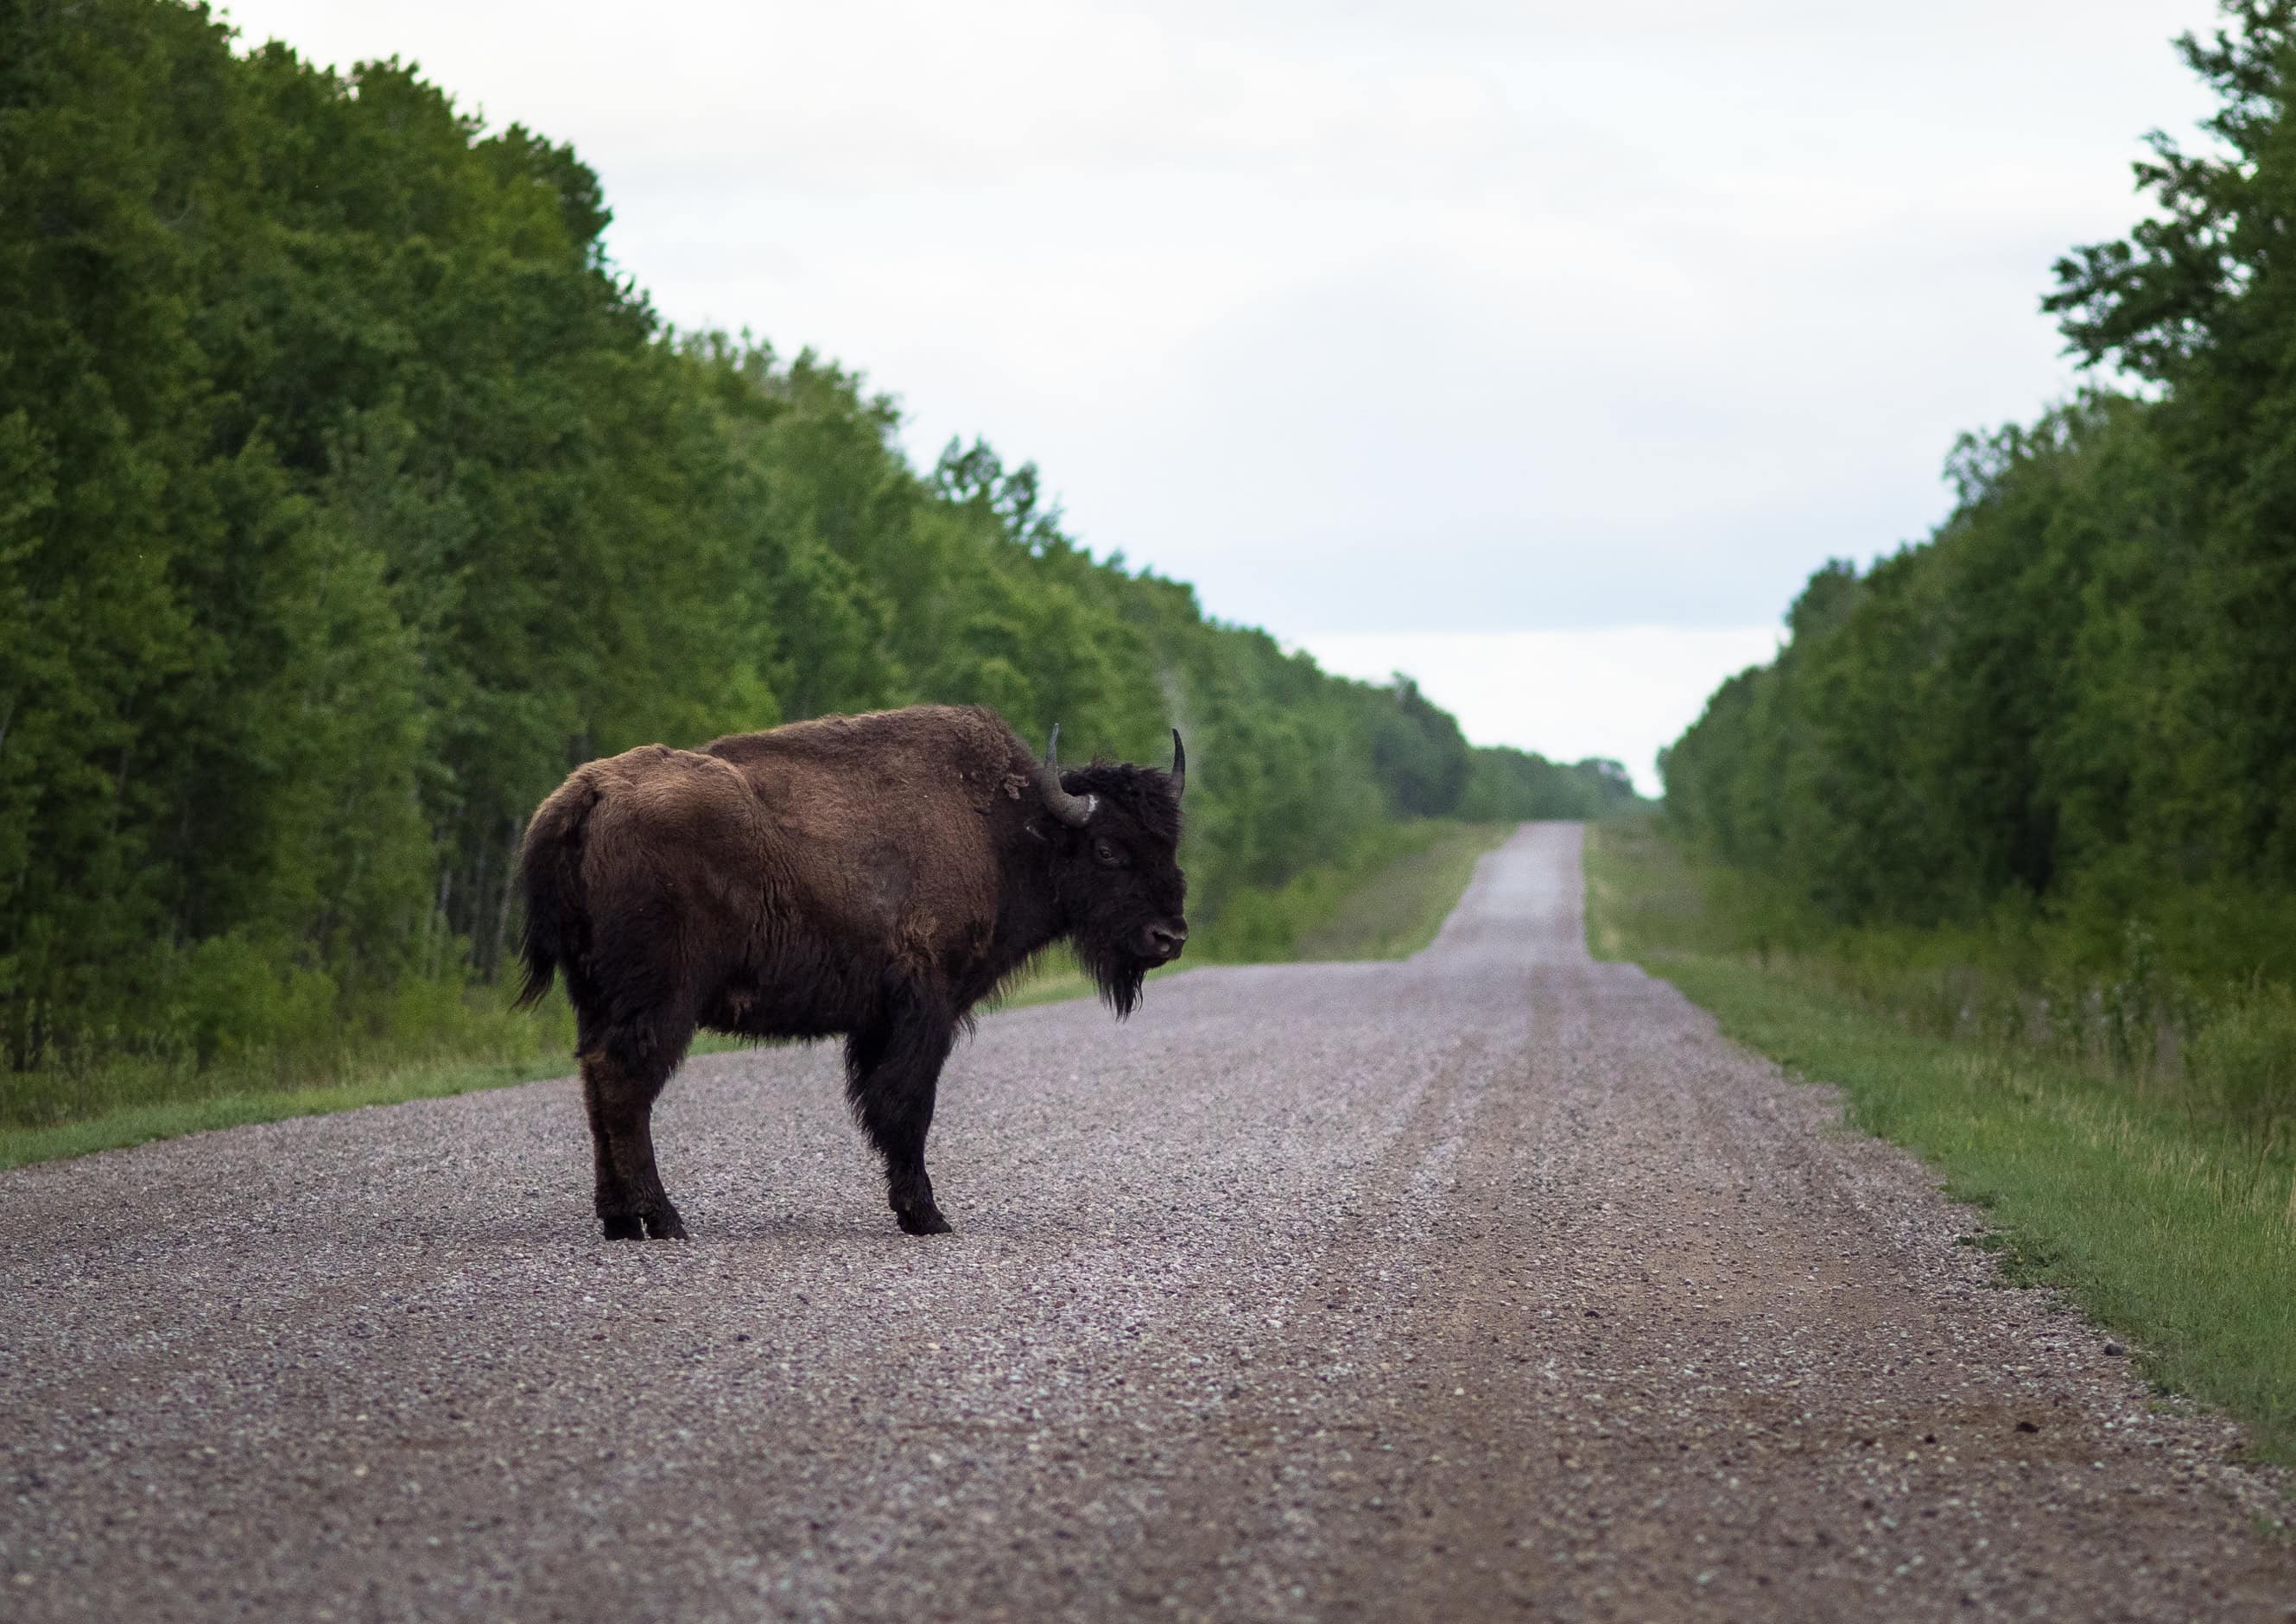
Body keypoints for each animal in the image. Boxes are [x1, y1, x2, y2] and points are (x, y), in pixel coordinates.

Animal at [514, 702, 1194, 1249]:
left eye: (1170, 845)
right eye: (1107, 848)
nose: (1170, 937)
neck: (1006, 834)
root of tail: (585, 794)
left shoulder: (877, 1022)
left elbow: (883, 1104)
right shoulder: (925, 1008)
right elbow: (907, 1104)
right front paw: (927, 1216)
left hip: (595, 996)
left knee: (596, 1083)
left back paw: (620, 1220)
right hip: (661, 1000)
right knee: (624, 1083)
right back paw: (663, 1219)